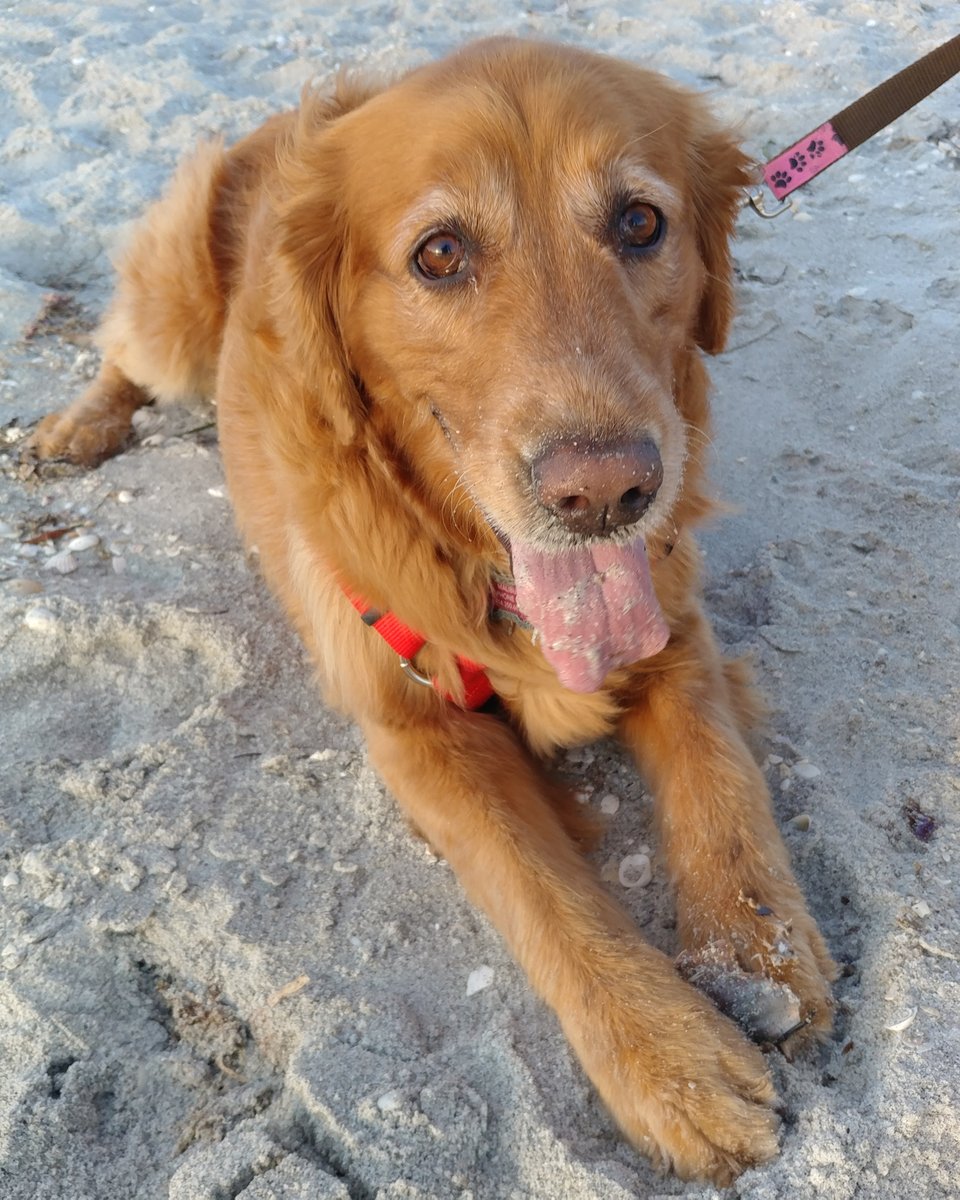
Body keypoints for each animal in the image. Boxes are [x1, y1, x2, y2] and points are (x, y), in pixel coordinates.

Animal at [27, 38, 836, 1184]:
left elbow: (723, 780)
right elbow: (544, 892)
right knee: (122, 352)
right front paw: (673, 1063)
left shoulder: (674, 626)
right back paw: (77, 425)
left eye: (641, 223)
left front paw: (757, 953)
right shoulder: (415, 729)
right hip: (173, 313)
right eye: (441, 253)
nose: (607, 494)